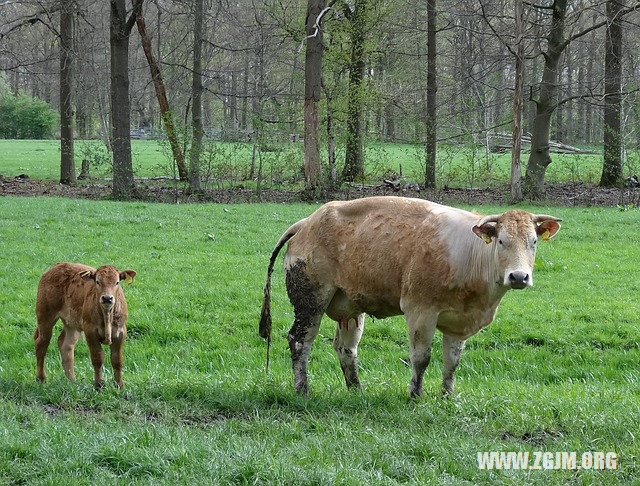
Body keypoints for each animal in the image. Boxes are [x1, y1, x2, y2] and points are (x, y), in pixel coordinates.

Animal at [260, 196, 560, 396]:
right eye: (501, 241)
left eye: (533, 242)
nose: (519, 277)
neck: (470, 256)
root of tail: (307, 222)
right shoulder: (420, 311)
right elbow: (421, 357)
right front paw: (415, 395)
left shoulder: (459, 323)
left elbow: (452, 361)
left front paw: (447, 396)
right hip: (310, 302)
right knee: (300, 342)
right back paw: (303, 390)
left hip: (350, 308)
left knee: (346, 348)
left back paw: (356, 389)